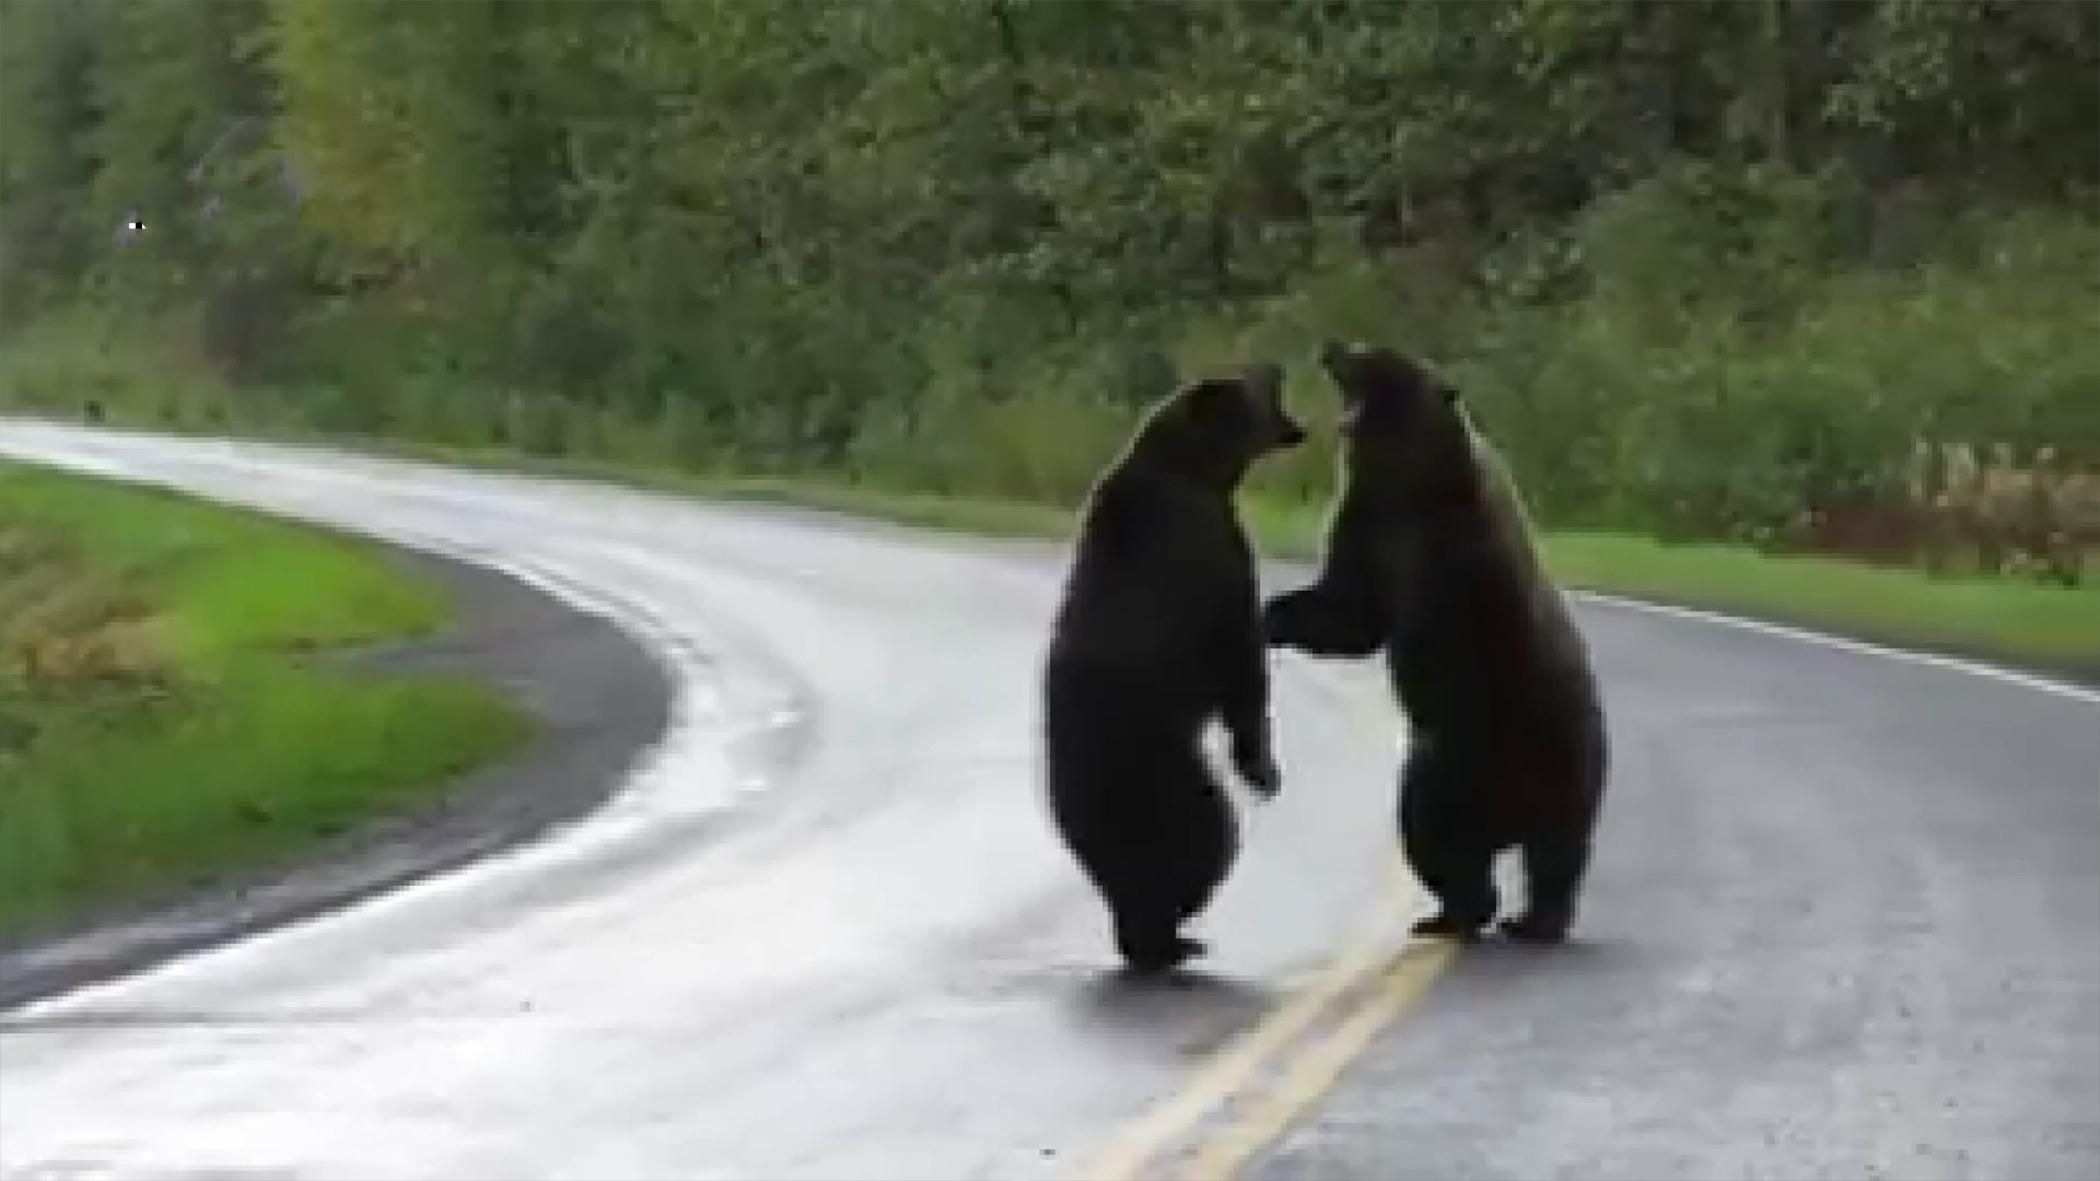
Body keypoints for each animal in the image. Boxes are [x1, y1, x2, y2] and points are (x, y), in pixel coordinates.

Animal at [1041, 353, 1302, 970]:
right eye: (1252, 381)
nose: (1275, 362)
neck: (1197, 471)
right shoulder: (1214, 548)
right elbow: (1240, 661)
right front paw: (1263, 769)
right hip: (1165, 778)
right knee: (1209, 840)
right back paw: (1172, 938)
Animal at [1260, 338, 1604, 937]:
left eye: (1374, 355)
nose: (1331, 347)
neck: (1409, 484)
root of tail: (1513, 815)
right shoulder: (1368, 526)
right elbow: (1350, 612)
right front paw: (1271, 617)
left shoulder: (1452, 551)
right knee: (1529, 855)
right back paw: (1497, 916)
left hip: (1533, 754)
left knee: (1493, 843)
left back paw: (1489, 915)